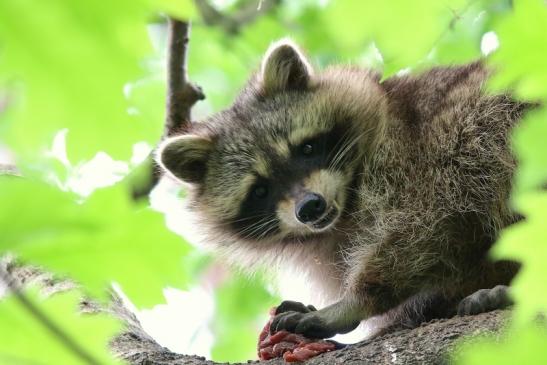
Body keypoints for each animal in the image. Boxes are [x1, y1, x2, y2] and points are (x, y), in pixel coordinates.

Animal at [157, 39, 528, 338]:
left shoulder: (415, 155)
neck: (345, 209)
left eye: (306, 148)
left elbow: (423, 223)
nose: (309, 207)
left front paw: (356, 301)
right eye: (260, 190)